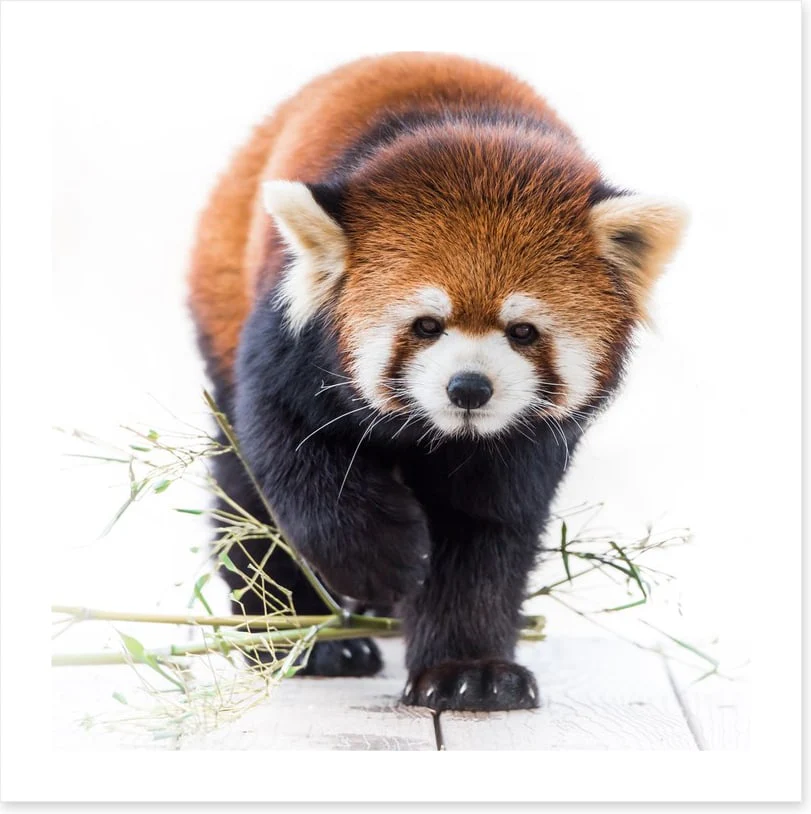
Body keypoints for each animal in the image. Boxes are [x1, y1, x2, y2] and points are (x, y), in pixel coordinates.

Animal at [188, 52, 686, 711]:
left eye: (523, 332)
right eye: (426, 325)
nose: (469, 388)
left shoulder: (523, 444)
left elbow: (484, 532)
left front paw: (469, 671)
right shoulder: (289, 343)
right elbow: (290, 454)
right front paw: (382, 562)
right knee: (244, 494)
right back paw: (299, 639)